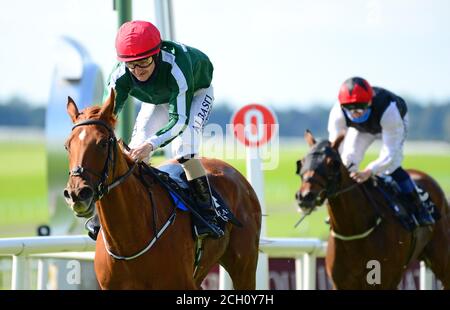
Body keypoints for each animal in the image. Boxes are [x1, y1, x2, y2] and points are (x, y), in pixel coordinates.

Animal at [62, 91, 260, 290]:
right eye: (67, 145)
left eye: (102, 143)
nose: (77, 194)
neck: (128, 240)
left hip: (244, 267)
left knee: (185, 151)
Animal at [296, 130, 450, 290]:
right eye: (302, 161)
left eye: (332, 163)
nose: (305, 196)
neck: (353, 232)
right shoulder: (341, 284)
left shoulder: (385, 281)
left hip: (442, 260)